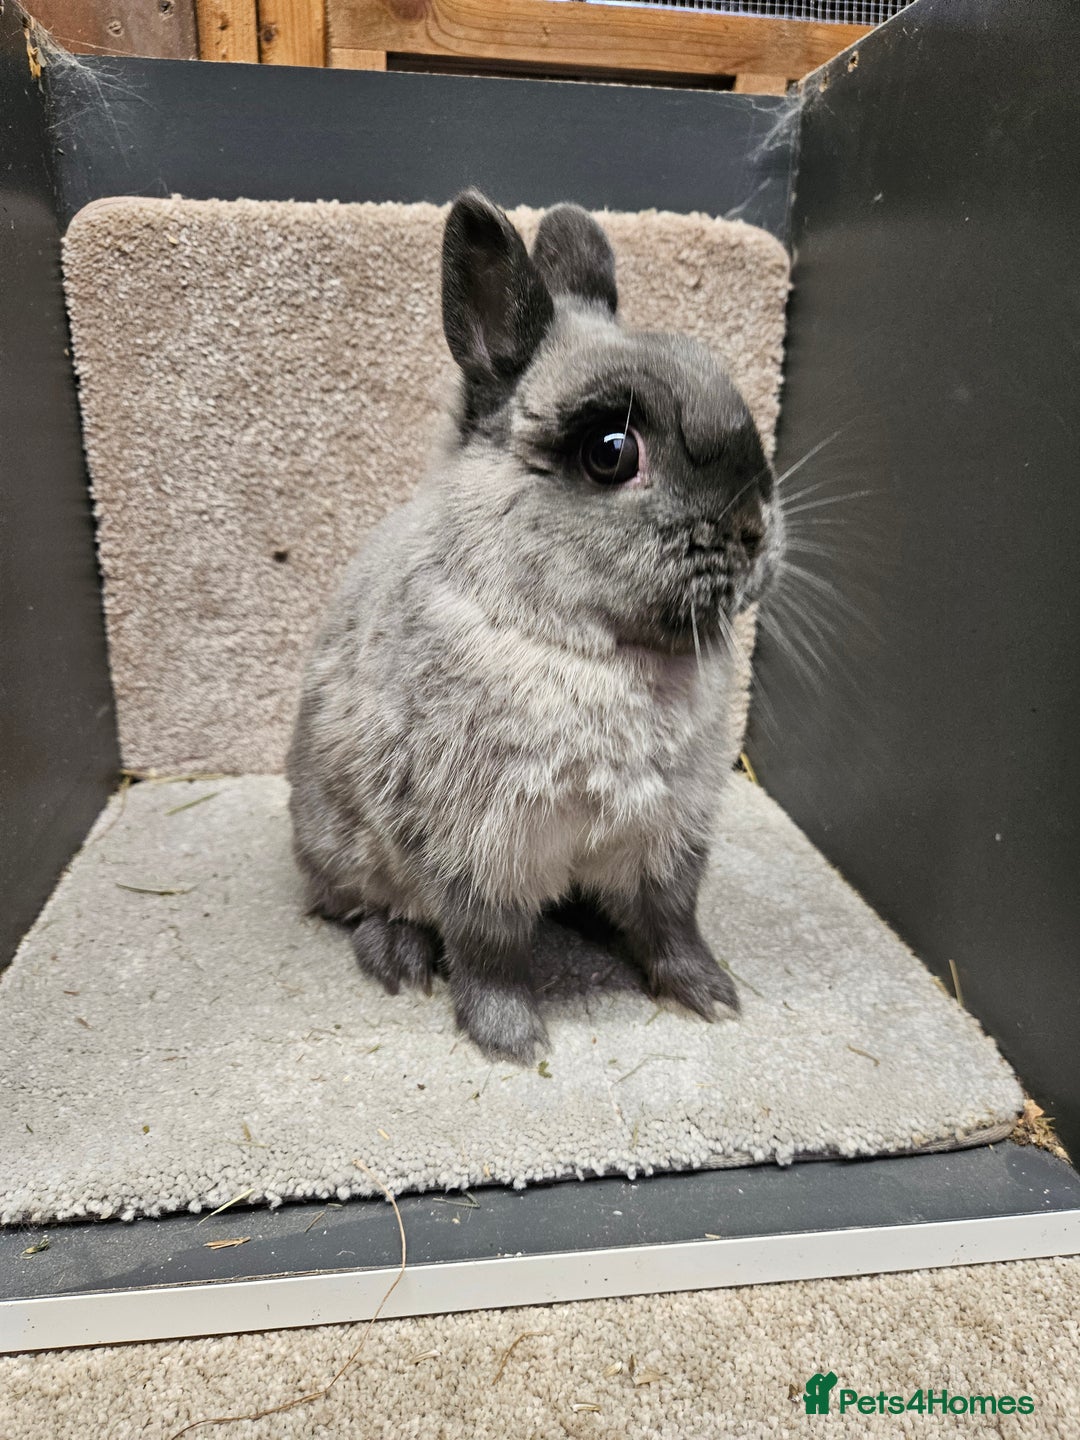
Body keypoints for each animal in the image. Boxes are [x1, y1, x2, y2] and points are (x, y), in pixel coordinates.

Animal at [287, 190, 784, 1064]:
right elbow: (490, 953)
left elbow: (672, 925)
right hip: (346, 850)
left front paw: (713, 998)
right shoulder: (480, 848)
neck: (597, 649)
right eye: (611, 452)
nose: (755, 529)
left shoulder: (669, 837)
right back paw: (399, 958)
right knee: (364, 906)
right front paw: (515, 1043)